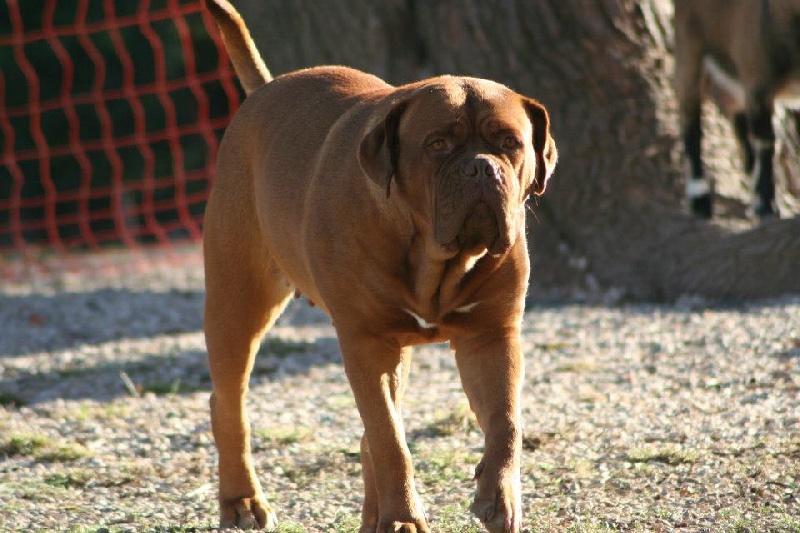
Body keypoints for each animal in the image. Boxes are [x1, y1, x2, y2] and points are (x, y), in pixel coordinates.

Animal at [202, 1, 557, 531]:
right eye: (437, 144)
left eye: (510, 142)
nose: (481, 167)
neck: (435, 259)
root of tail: (265, 88)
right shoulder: (366, 341)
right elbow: (391, 440)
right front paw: (404, 518)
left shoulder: (492, 335)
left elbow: (506, 421)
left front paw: (499, 496)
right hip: (237, 301)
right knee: (229, 405)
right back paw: (241, 501)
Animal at [674, 0, 800, 219]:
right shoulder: (757, 84)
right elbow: (766, 143)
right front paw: (765, 205)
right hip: (691, 53)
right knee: (690, 124)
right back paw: (700, 201)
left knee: (739, 126)